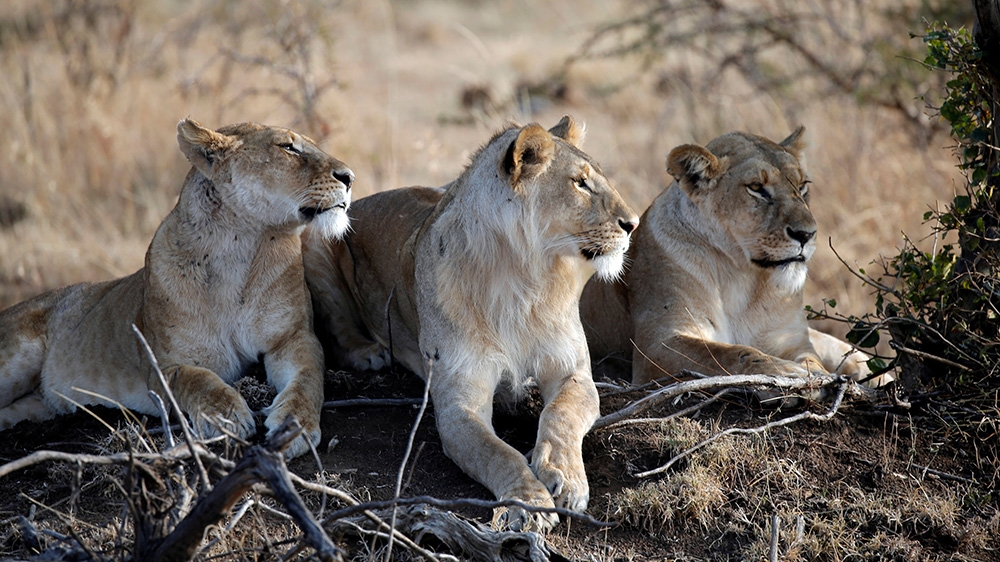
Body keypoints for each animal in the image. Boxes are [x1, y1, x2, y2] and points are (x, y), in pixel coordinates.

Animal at [0, 119, 355, 459]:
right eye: (288, 147)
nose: (349, 177)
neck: (239, 248)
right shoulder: (160, 366)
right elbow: (197, 379)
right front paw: (225, 416)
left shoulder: (293, 339)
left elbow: (308, 379)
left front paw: (295, 426)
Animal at [303, 116, 639, 531]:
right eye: (580, 182)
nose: (633, 224)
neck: (524, 278)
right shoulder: (459, 403)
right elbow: (499, 453)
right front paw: (528, 502)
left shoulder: (572, 371)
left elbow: (561, 415)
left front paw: (565, 477)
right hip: (316, 234)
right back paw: (368, 352)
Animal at [580, 127, 883, 389]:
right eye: (756, 187)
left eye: (803, 185)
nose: (806, 234)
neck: (743, 275)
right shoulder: (658, 343)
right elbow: (727, 353)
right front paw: (788, 373)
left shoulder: (793, 341)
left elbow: (811, 360)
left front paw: (816, 374)